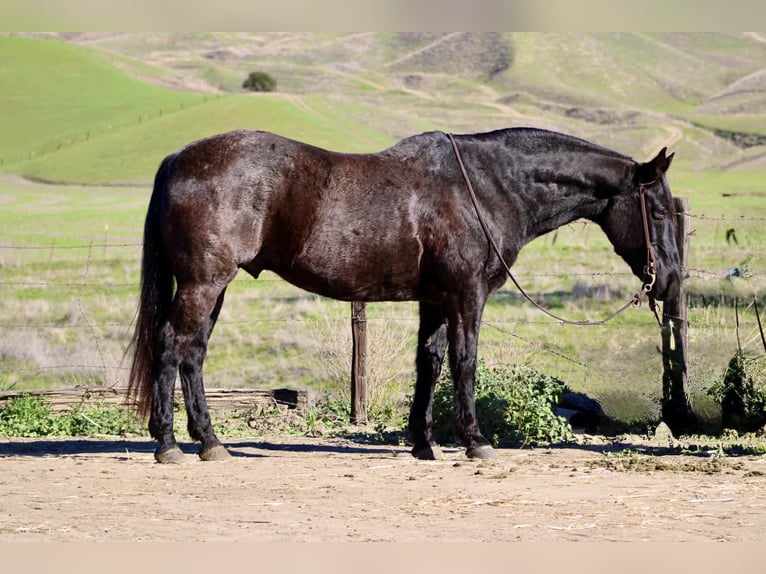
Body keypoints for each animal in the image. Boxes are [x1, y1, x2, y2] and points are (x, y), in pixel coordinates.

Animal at [127, 127, 681, 463]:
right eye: (657, 212)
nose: (670, 282)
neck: (486, 187)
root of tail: (178, 160)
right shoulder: (466, 296)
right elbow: (464, 362)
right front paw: (475, 441)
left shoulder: (435, 300)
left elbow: (428, 364)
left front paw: (423, 443)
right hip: (203, 283)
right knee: (173, 346)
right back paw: (169, 444)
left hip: (212, 287)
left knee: (193, 354)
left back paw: (209, 442)